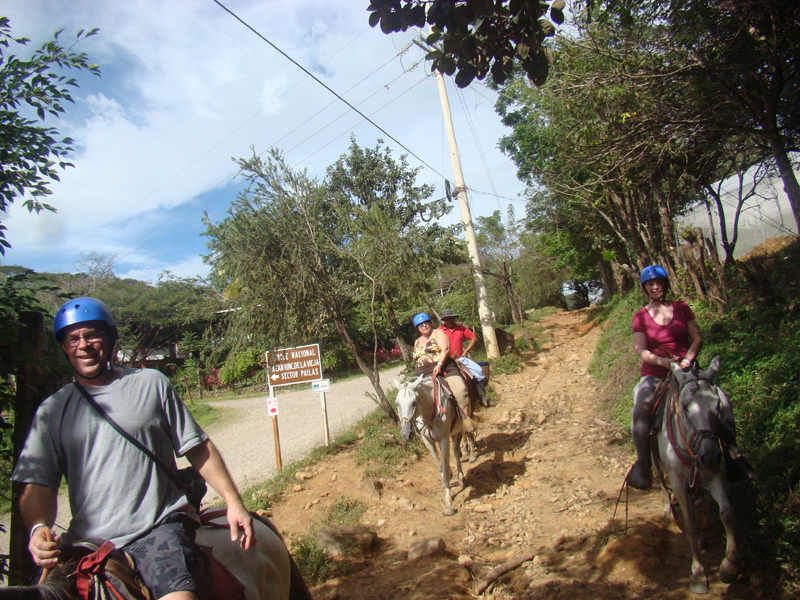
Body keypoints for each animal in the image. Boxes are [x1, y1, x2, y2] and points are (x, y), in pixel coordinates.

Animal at [392, 376, 466, 516]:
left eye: (414, 402)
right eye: (397, 403)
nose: (406, 434)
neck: (430, 411)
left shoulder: (444, 439)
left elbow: (445, 468)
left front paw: (448, 501)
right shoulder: (428, 441)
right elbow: (440, 466)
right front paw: (445, 487)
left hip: (459, 429)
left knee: (457, 451)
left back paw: (461, 476)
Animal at [652, 356, 740, 596]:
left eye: (718, 406)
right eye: (685, 407)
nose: (709, 456)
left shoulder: (712, 475)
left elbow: (727, 513)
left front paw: (729, 567)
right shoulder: (677, 482)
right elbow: (690, 523)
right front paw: (698, 575)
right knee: (661, 480)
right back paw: (667, 510)